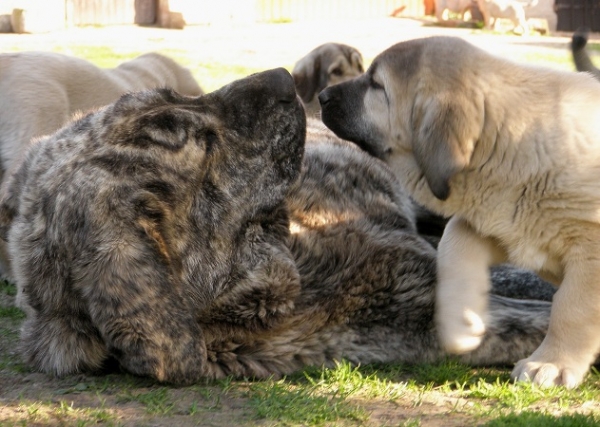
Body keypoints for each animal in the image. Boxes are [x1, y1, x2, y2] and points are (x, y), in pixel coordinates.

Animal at [322, 36, 600, 390]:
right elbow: (453, 244)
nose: (320, 96)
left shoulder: (590, 253)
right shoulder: (500, 222)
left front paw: (551, 363)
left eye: (376, 85)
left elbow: (571, 307)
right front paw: (462, 325)